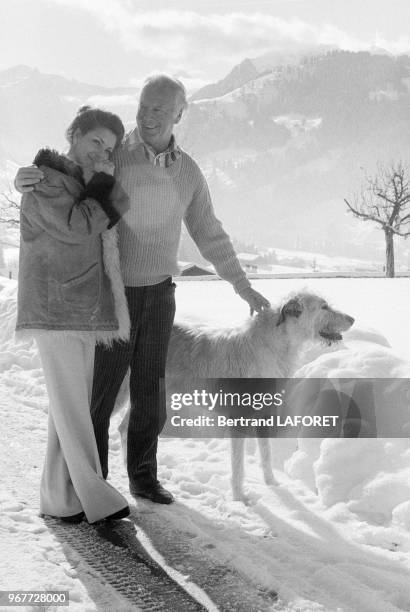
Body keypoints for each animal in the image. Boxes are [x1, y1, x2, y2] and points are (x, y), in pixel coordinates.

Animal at [114, 292, 352, 502]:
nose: (353, 319)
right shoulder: (238, 417)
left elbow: (266, 454)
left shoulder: (264, 414)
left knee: (126, 428)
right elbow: (238, 465)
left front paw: (272, 485)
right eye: (324, 307)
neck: (272, 347)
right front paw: (239, 497)